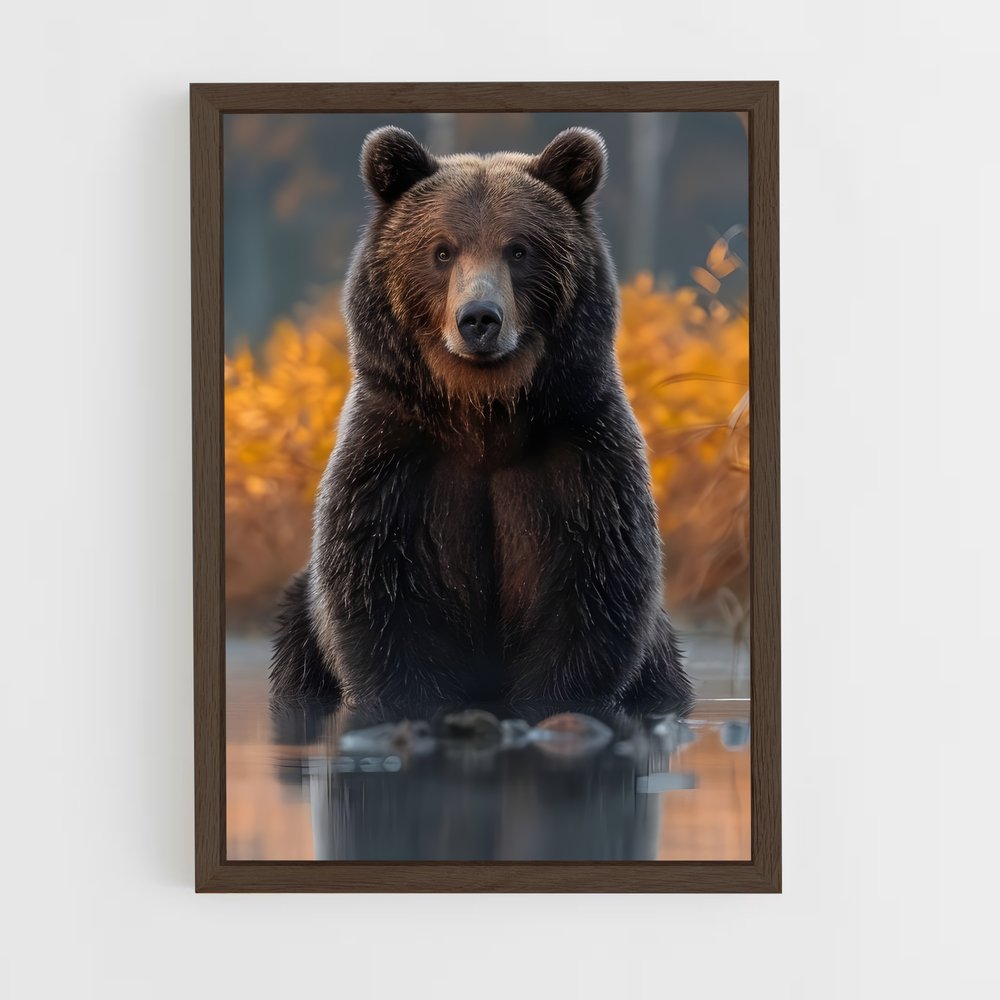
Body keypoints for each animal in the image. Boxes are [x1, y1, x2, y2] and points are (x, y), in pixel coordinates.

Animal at [270, 125, 691, 712]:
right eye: (442, 250)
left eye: (519, 249)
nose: (479, 319)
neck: (484, 415)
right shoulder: (394, 458)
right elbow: (379, 598)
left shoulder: (581, 456)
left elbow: (594, 589)